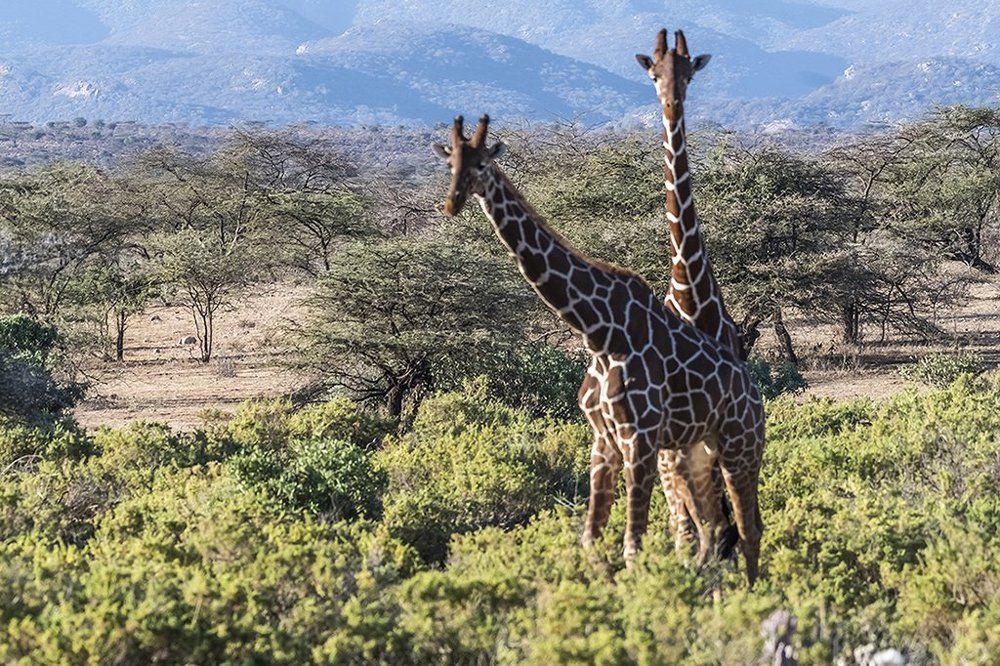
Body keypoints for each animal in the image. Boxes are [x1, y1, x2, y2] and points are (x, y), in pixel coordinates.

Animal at [432, 115, 765, 584]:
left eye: (480, 164)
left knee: (747, 529)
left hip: (740, 446)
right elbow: (592, 539)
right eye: (451, 164)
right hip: (695, 455)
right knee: (715, 531)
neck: (601, 331)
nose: (452, 202)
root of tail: (753, 391)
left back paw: (749, 595)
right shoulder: (603, 439)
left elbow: (632, 545)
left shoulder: (639, 440)